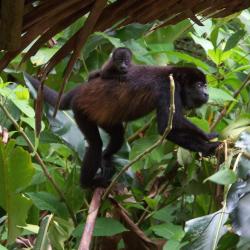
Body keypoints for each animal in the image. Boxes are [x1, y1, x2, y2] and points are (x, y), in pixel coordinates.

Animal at [24, 66, 221, 188]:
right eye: (199, 85)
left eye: (205, 85)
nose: (207, 93)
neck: (175, 76)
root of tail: (79, 91)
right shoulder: (168, 87)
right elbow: (169, 125)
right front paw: (208, 141)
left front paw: (208, 144)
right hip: (81, 111)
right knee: (95, 144)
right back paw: (88, 183)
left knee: (118, 134)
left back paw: (106, 158)